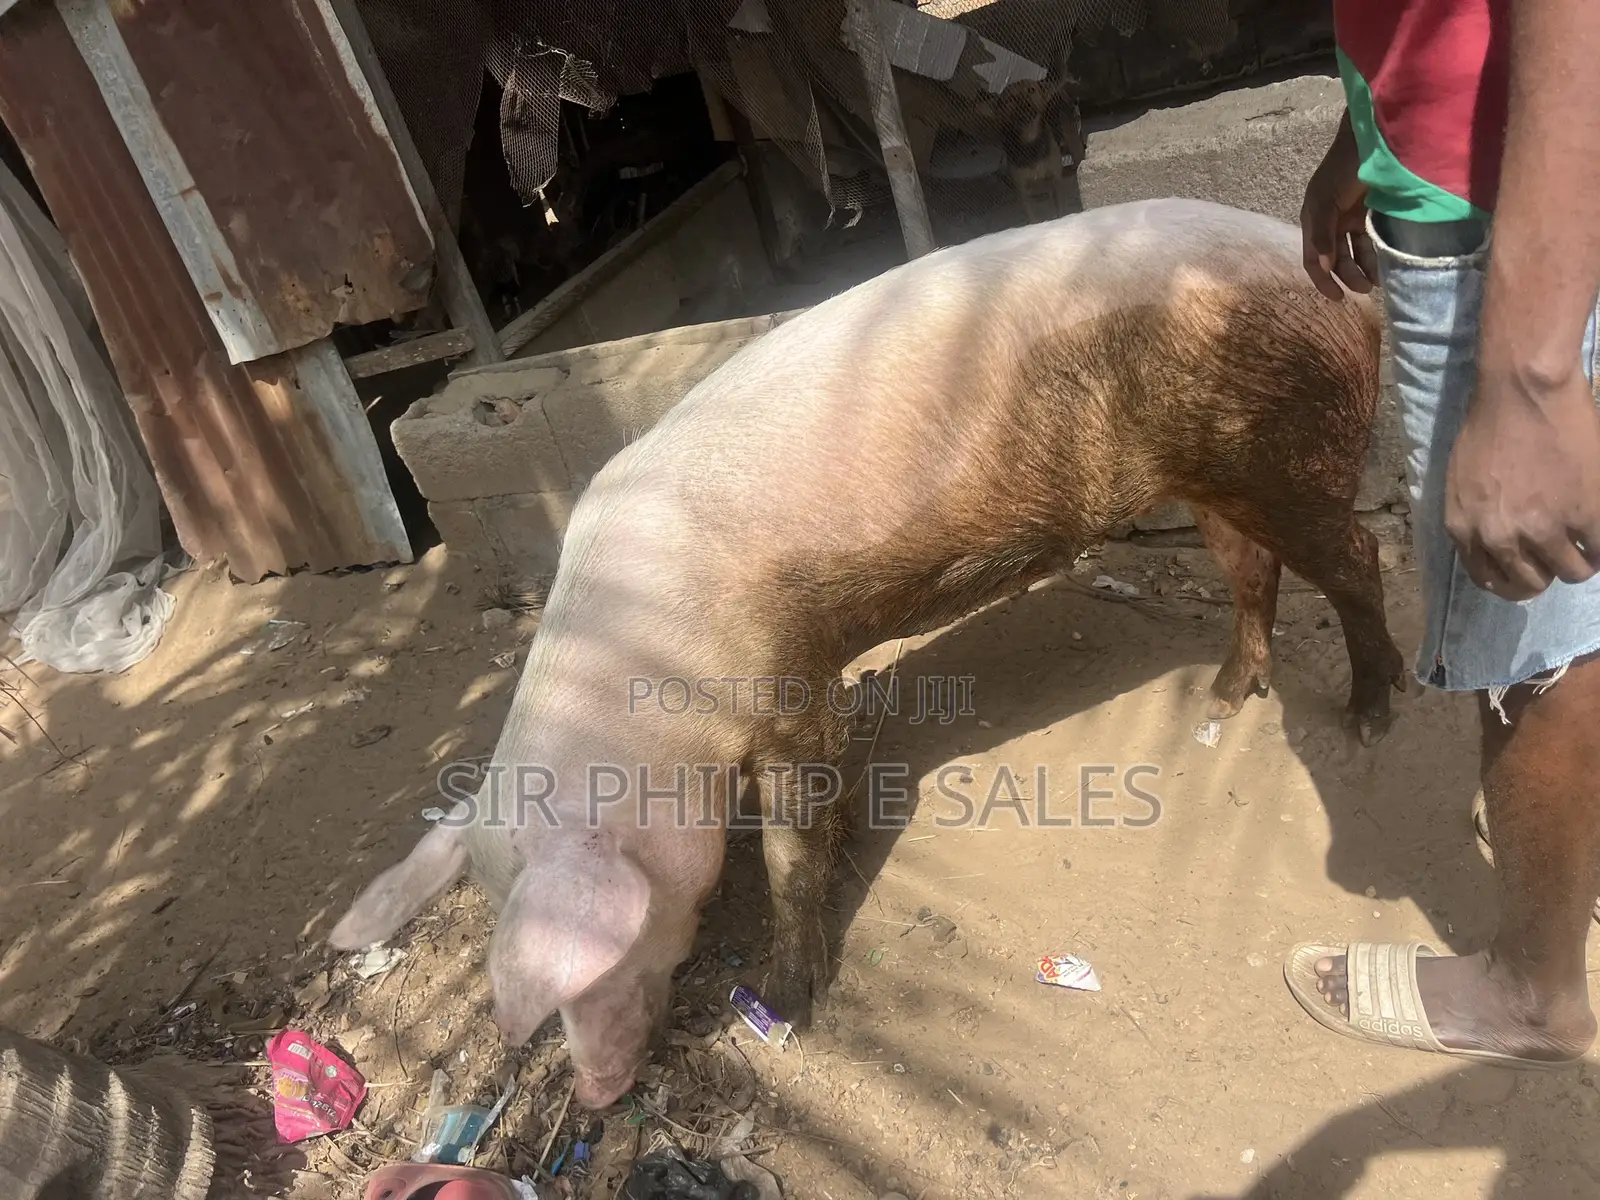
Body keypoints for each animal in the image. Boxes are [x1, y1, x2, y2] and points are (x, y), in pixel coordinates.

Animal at [330, 197, 1404, 1109]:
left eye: (601, 957)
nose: (596, 1093)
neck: (655, 690)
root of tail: (1346, 284)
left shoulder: (790, 673)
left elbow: (793, 838)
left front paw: (787, 1004)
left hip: (1289, 448)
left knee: (1357, 559)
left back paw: (1367, 719)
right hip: (1222, 471)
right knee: (1252, 565)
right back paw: (1226, 697)